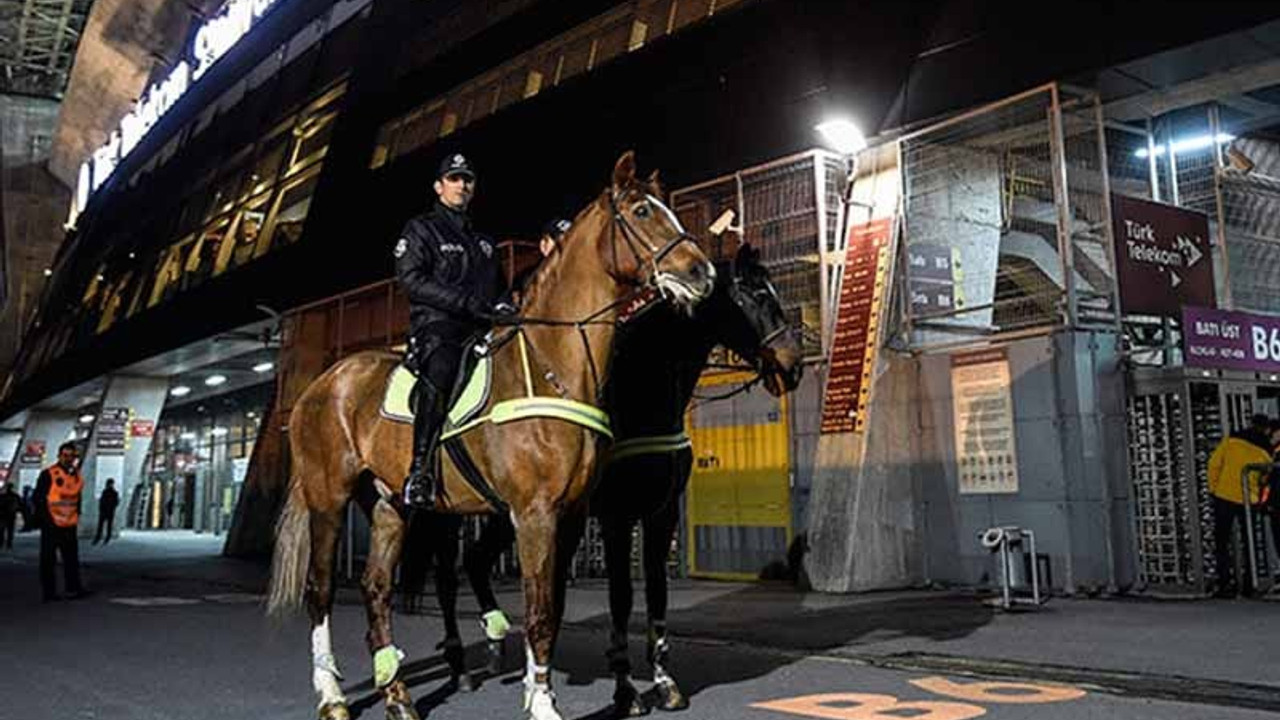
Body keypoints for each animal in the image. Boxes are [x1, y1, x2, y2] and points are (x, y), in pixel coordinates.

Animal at [266, 152, 716, 717]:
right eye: (641, 210)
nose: (702, 272)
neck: (552, 365)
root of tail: (321, 384)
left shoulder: (569, 516)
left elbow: (551, 607)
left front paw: (536, 688)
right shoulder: (534, 514)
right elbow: (539, 611)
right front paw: (542, 703)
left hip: (390, 505)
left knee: (375, 589)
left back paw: (397, 694)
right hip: (328, 498)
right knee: (321, 590)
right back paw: (332, 696)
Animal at [422, 244, 798, 712]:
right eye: (757, 297)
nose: (793, 365)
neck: (643, 393)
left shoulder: (658, 516)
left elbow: (655, 591)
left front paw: (664, 681)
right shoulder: (617, 517)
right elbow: (621, 595)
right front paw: (625, 687)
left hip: (505, 511)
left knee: (476, 561)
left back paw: (500, 647)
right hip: (452, 510)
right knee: (447, 577)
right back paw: (461, 667)